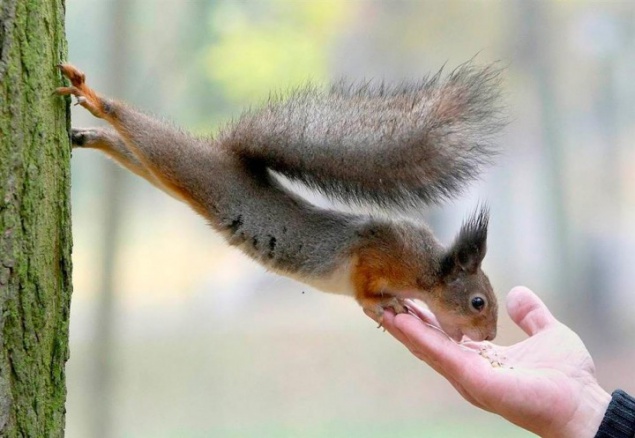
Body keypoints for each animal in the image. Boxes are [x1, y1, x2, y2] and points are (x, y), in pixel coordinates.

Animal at [57, 61, 504, 342]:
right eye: (478, 302)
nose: (490, 336)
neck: (425, 269)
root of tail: (224, 155)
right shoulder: (376, 252)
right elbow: (364, 287)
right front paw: (384, 303)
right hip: (186, 165)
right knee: (143, 133)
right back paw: (94, 99)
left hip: (168, 175)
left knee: (132, 152)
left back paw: (91, 135)